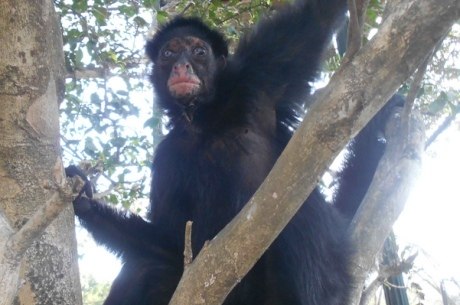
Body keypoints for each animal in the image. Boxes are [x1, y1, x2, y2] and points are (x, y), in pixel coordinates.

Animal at [68, 0, 402, 302]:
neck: (206, 119)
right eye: (169, 53)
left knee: (292, 214)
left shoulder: (259, 73)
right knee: (146, 268)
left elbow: (319, 16)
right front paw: (85, 201)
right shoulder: (167, 157)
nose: (181, 65)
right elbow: (173, 244)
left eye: (199, 52)